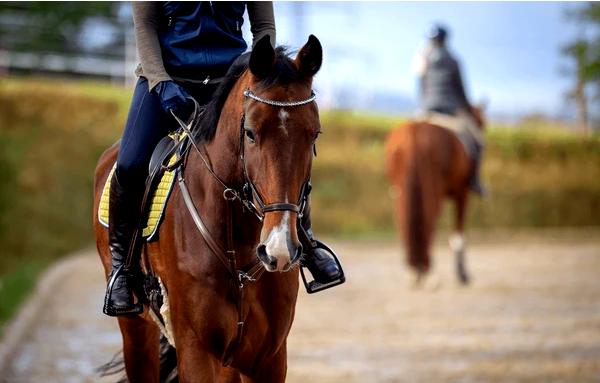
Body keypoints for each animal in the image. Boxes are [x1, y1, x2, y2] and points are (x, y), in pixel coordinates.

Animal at [386, 109, 486, 286]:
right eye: (481, 122)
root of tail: (415, 129)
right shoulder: (462, 193)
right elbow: (459, 231)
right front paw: (462, 274)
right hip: (432, 188)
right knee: (429, 219)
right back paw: (428, 272)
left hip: (402, 189)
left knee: (405, 220)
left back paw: (415, 271)